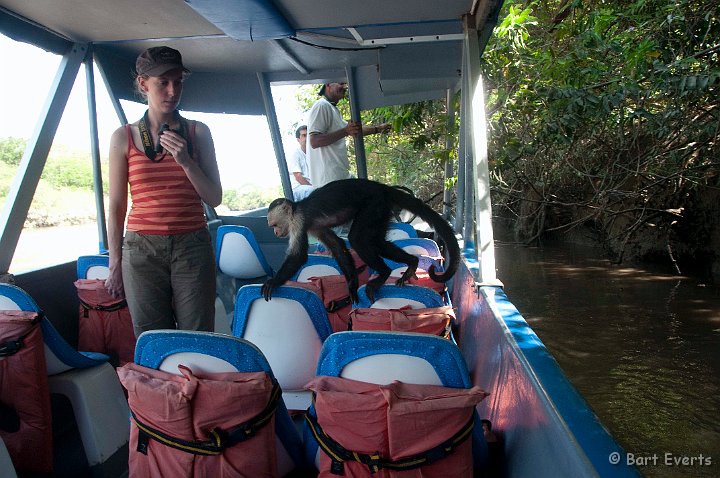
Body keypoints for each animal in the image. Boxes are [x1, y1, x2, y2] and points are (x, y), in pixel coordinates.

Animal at [262, 179, 458, 302]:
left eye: (274, 224)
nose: (276, 232)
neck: (296, 209)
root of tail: (381, 187)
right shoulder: (313, 228)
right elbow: (337, 246)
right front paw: (351, 284)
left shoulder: (298, 221)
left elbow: (299, 256)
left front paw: (273, 282)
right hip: (382, 209)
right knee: (378, 242)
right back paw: (412, 263)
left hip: (374, 204)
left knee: (357, 239)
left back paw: (384, 273)